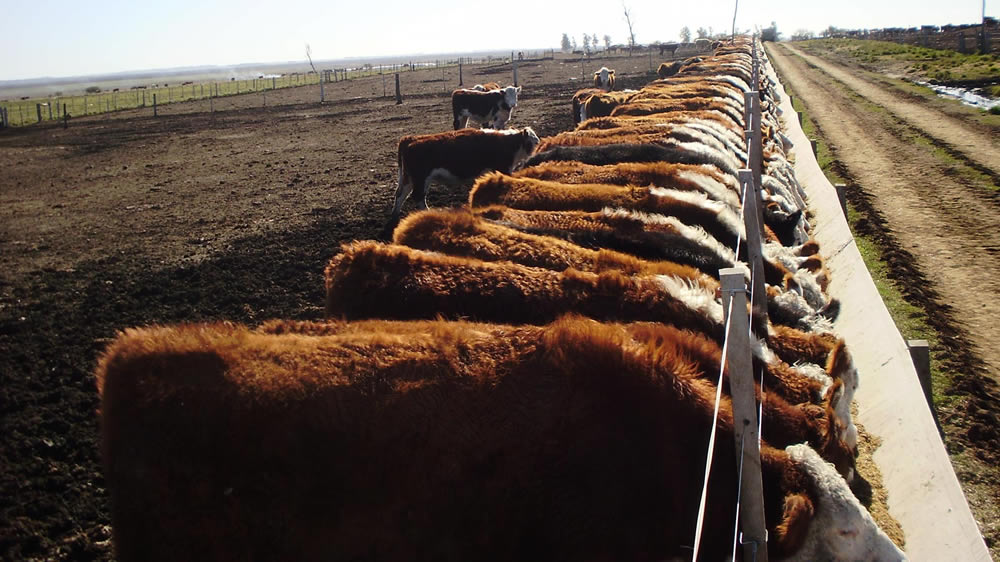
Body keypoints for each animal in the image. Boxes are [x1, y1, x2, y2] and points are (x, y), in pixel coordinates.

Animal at [386, 127, 540, 219]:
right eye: (534, 141)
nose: (539, 147)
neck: (509, 143)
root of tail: (410, 139)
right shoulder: (503, 168)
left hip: (408, 178)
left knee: (401, 194)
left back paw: (395, 214)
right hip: (421, 179)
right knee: (417, 196)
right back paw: (427, 212)